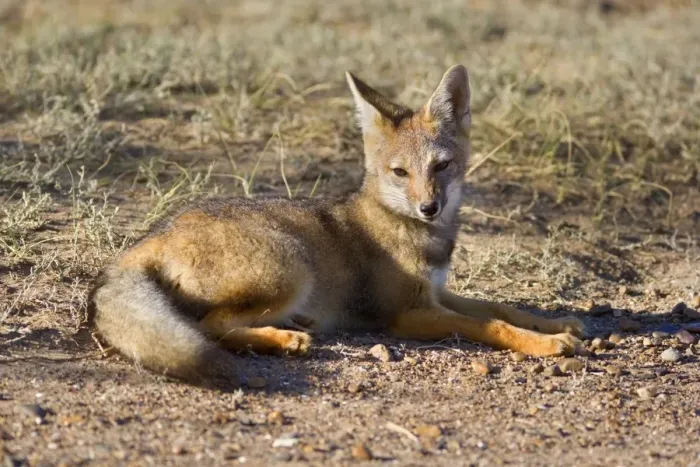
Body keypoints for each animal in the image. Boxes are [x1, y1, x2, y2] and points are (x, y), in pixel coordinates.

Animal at [89, 65, 585, 382]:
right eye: (400, 173)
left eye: (441, 166)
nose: (429, 207)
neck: (415, 232)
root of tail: (158, 233)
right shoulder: (407, 314)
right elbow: (490, 325)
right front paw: (545, 344)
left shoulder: (438, 293)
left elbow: (502, 308)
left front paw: (556, 323)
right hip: (291, 267)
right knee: (211, 326)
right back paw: (284, 340)